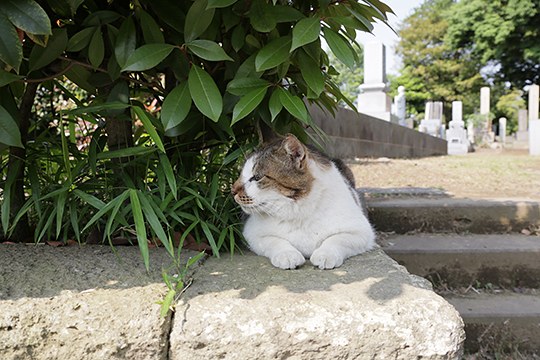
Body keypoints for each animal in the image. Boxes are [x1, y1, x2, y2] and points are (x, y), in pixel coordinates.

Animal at [229, 134, 376, 268]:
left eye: (257, 177)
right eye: (241, 174)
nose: (232, 190)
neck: (298, 211)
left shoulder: (362, 231)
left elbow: (338, 239)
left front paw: (325, 254)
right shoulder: (251, 233)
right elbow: (274, 241)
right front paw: (287, 255)